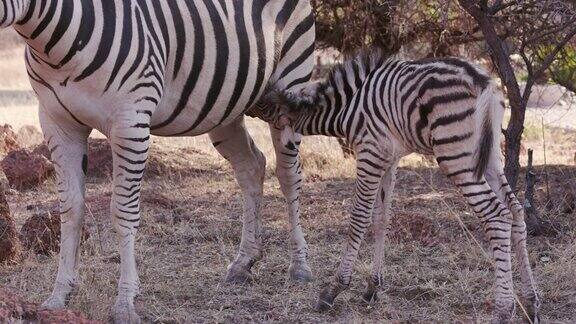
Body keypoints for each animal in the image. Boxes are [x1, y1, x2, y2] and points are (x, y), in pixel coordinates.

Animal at [0, 0, 316, 322]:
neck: (53, 49)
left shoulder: (130, 123)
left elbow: (123, 211)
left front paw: (125, 301)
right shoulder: (57, 123)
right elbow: (70, 209)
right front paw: (59, 295)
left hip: (292, 85)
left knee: (288, 175)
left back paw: (300, 265)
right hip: (225, 106)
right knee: (251, 166)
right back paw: (244, 261)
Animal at [258, 50, 544, 322]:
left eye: (266, 101)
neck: (347, 107)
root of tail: (485, 82)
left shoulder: (370, 153)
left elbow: (359, 218)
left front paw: (335, 289)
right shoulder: (389, 159)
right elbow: (381, 218)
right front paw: (373, 287)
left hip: (457, 155)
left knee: (497, 215)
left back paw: (503, 310)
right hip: (489, 155)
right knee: (516, 211)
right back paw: (530, 303)